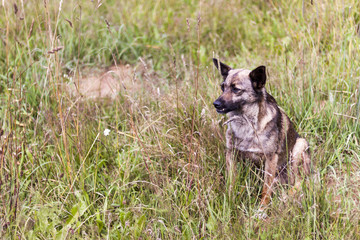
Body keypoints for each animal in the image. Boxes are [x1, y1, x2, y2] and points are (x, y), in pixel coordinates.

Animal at [212, 59, 310, 209]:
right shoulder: (231, 154)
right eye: (223, 87)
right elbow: (231, 183)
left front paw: (261, 209)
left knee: (299, 183)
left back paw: (286, 197)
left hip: (299, 148)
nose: (215, 104)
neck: (246, 122)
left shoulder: (270, 159)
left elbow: (266, 189)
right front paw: (228, 201)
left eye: (236, 89)